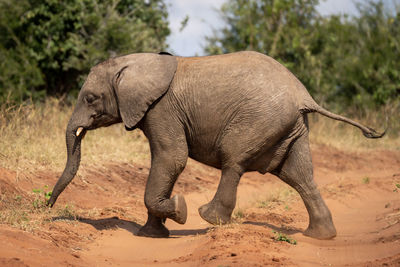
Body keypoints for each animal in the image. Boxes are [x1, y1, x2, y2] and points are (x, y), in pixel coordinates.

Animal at [47, 51, 384, 240]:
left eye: (91, 98)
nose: (48, 207)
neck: (134, 62)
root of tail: (305, 96)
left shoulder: (162, 109)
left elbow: (171, 158)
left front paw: (179, 210)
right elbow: (165, 162)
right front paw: (152, 234)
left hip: (259, 119)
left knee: (234, 161)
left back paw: (209, 217)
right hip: (291, 129)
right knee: (299, 177)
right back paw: (321, 236)